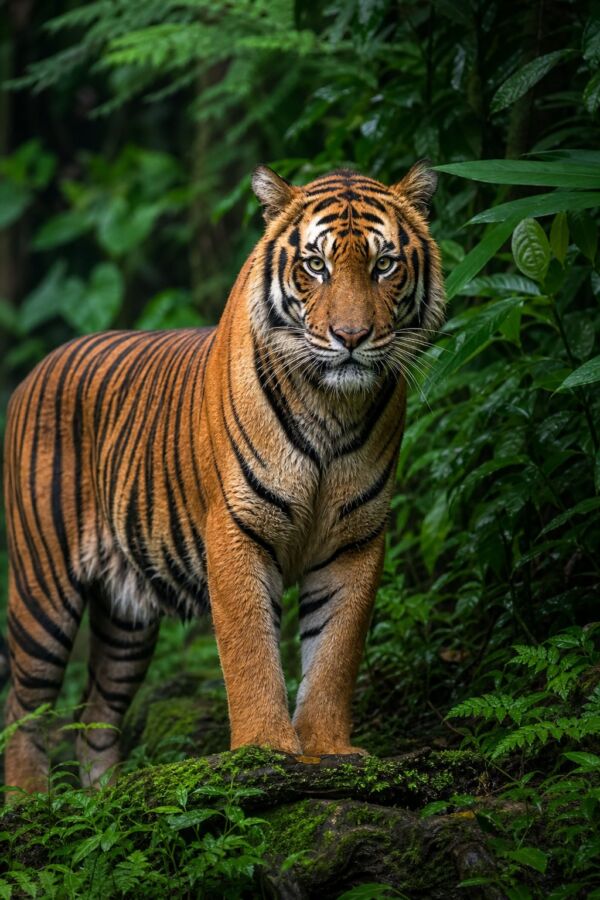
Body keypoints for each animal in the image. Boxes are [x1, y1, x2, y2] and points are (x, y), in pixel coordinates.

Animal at [3, 161, 445, 794]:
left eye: (384, 264)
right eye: (316, 265)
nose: (351, 337)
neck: (332, 408)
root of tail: (35, 371)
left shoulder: (357, 538)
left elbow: (335, 652)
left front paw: (329, 751)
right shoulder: (237, 527)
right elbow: (250, 650)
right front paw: (267, 751)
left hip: (127, 615)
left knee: (96, 715)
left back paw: (104, 798)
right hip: (44, 585)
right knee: (23, 706)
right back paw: (31, 802)